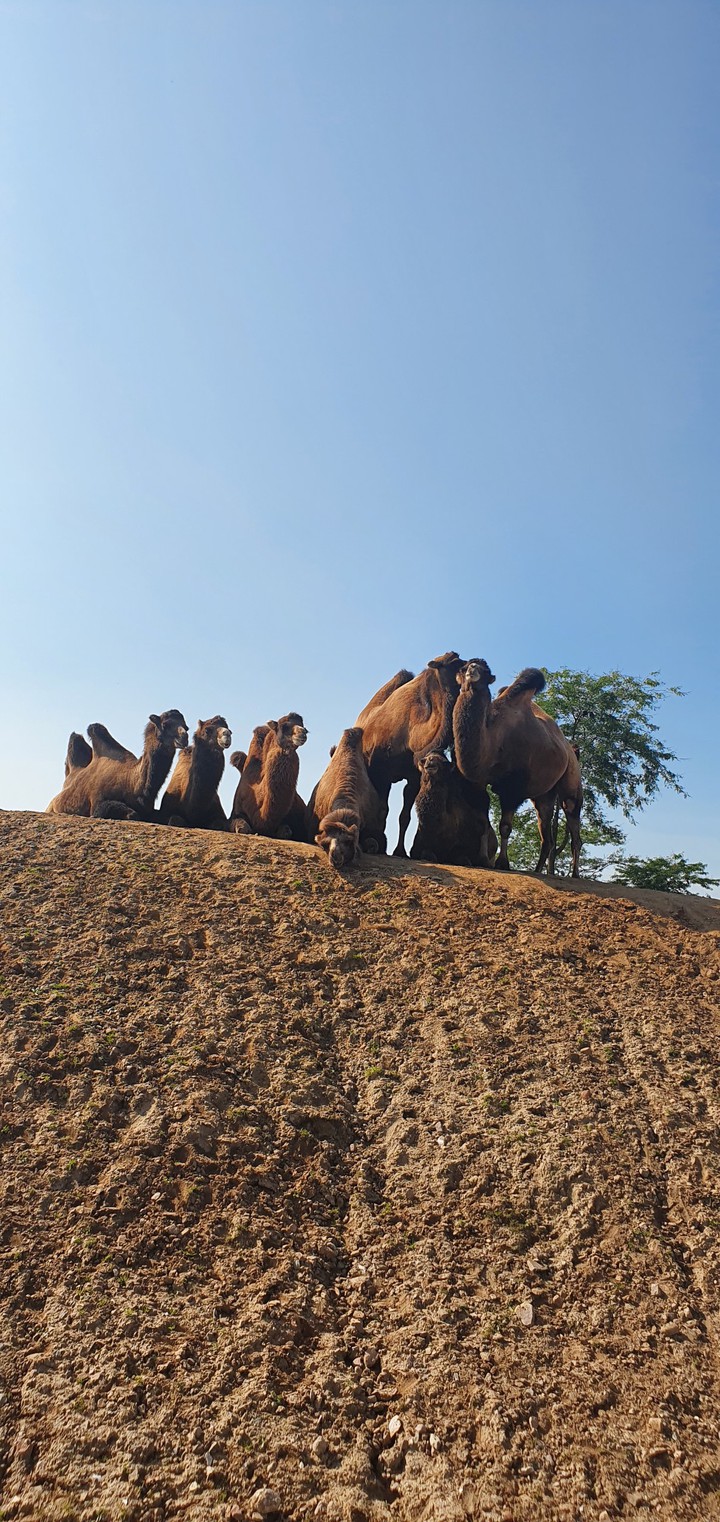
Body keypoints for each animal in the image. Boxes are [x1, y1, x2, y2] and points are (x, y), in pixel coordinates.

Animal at [47, 710, 189, 820]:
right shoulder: (97, 802)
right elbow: (131, 814)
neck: (131, 782)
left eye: (186, 726)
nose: (184, 737)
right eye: (165, 724)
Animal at [355, 652, 466, 855]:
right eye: (454, 662)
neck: (409, 735)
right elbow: (383, 809)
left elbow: (404, 816)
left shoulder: (414, 776)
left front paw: (400, 851)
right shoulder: (382, 772)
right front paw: (380, 844)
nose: (470, 665)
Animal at [452, 662, 583, 876]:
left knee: (572, 820)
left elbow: (505, 826)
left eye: (486, 672)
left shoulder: (512, 789)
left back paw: (575, 874)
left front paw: (502, 863)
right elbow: (482, 822)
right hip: (544, 794)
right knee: (546, 834)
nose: (472, 670)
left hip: (572, 779)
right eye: (462, 669)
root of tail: (571, 749)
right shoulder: (478, 782)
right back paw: (537, 870)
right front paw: (482, 859)